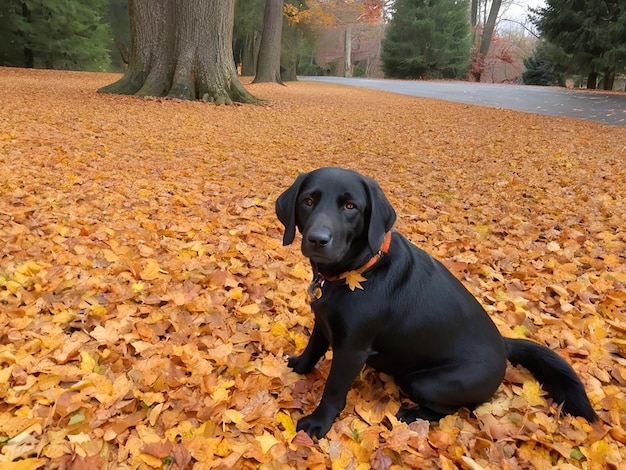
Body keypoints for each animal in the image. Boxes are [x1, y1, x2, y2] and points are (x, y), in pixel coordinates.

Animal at [276, 167, 596, 438]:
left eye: (350, 207)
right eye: (308, 201)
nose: (318, 239)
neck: (358, 271)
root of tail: (505, 346)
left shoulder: (352, 349)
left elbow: (333, 389)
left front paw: (318, 423)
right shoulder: (324, 320)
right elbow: (313, 348)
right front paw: (298, 366)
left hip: (424, 381)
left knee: (456, 410)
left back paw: (413, 414)